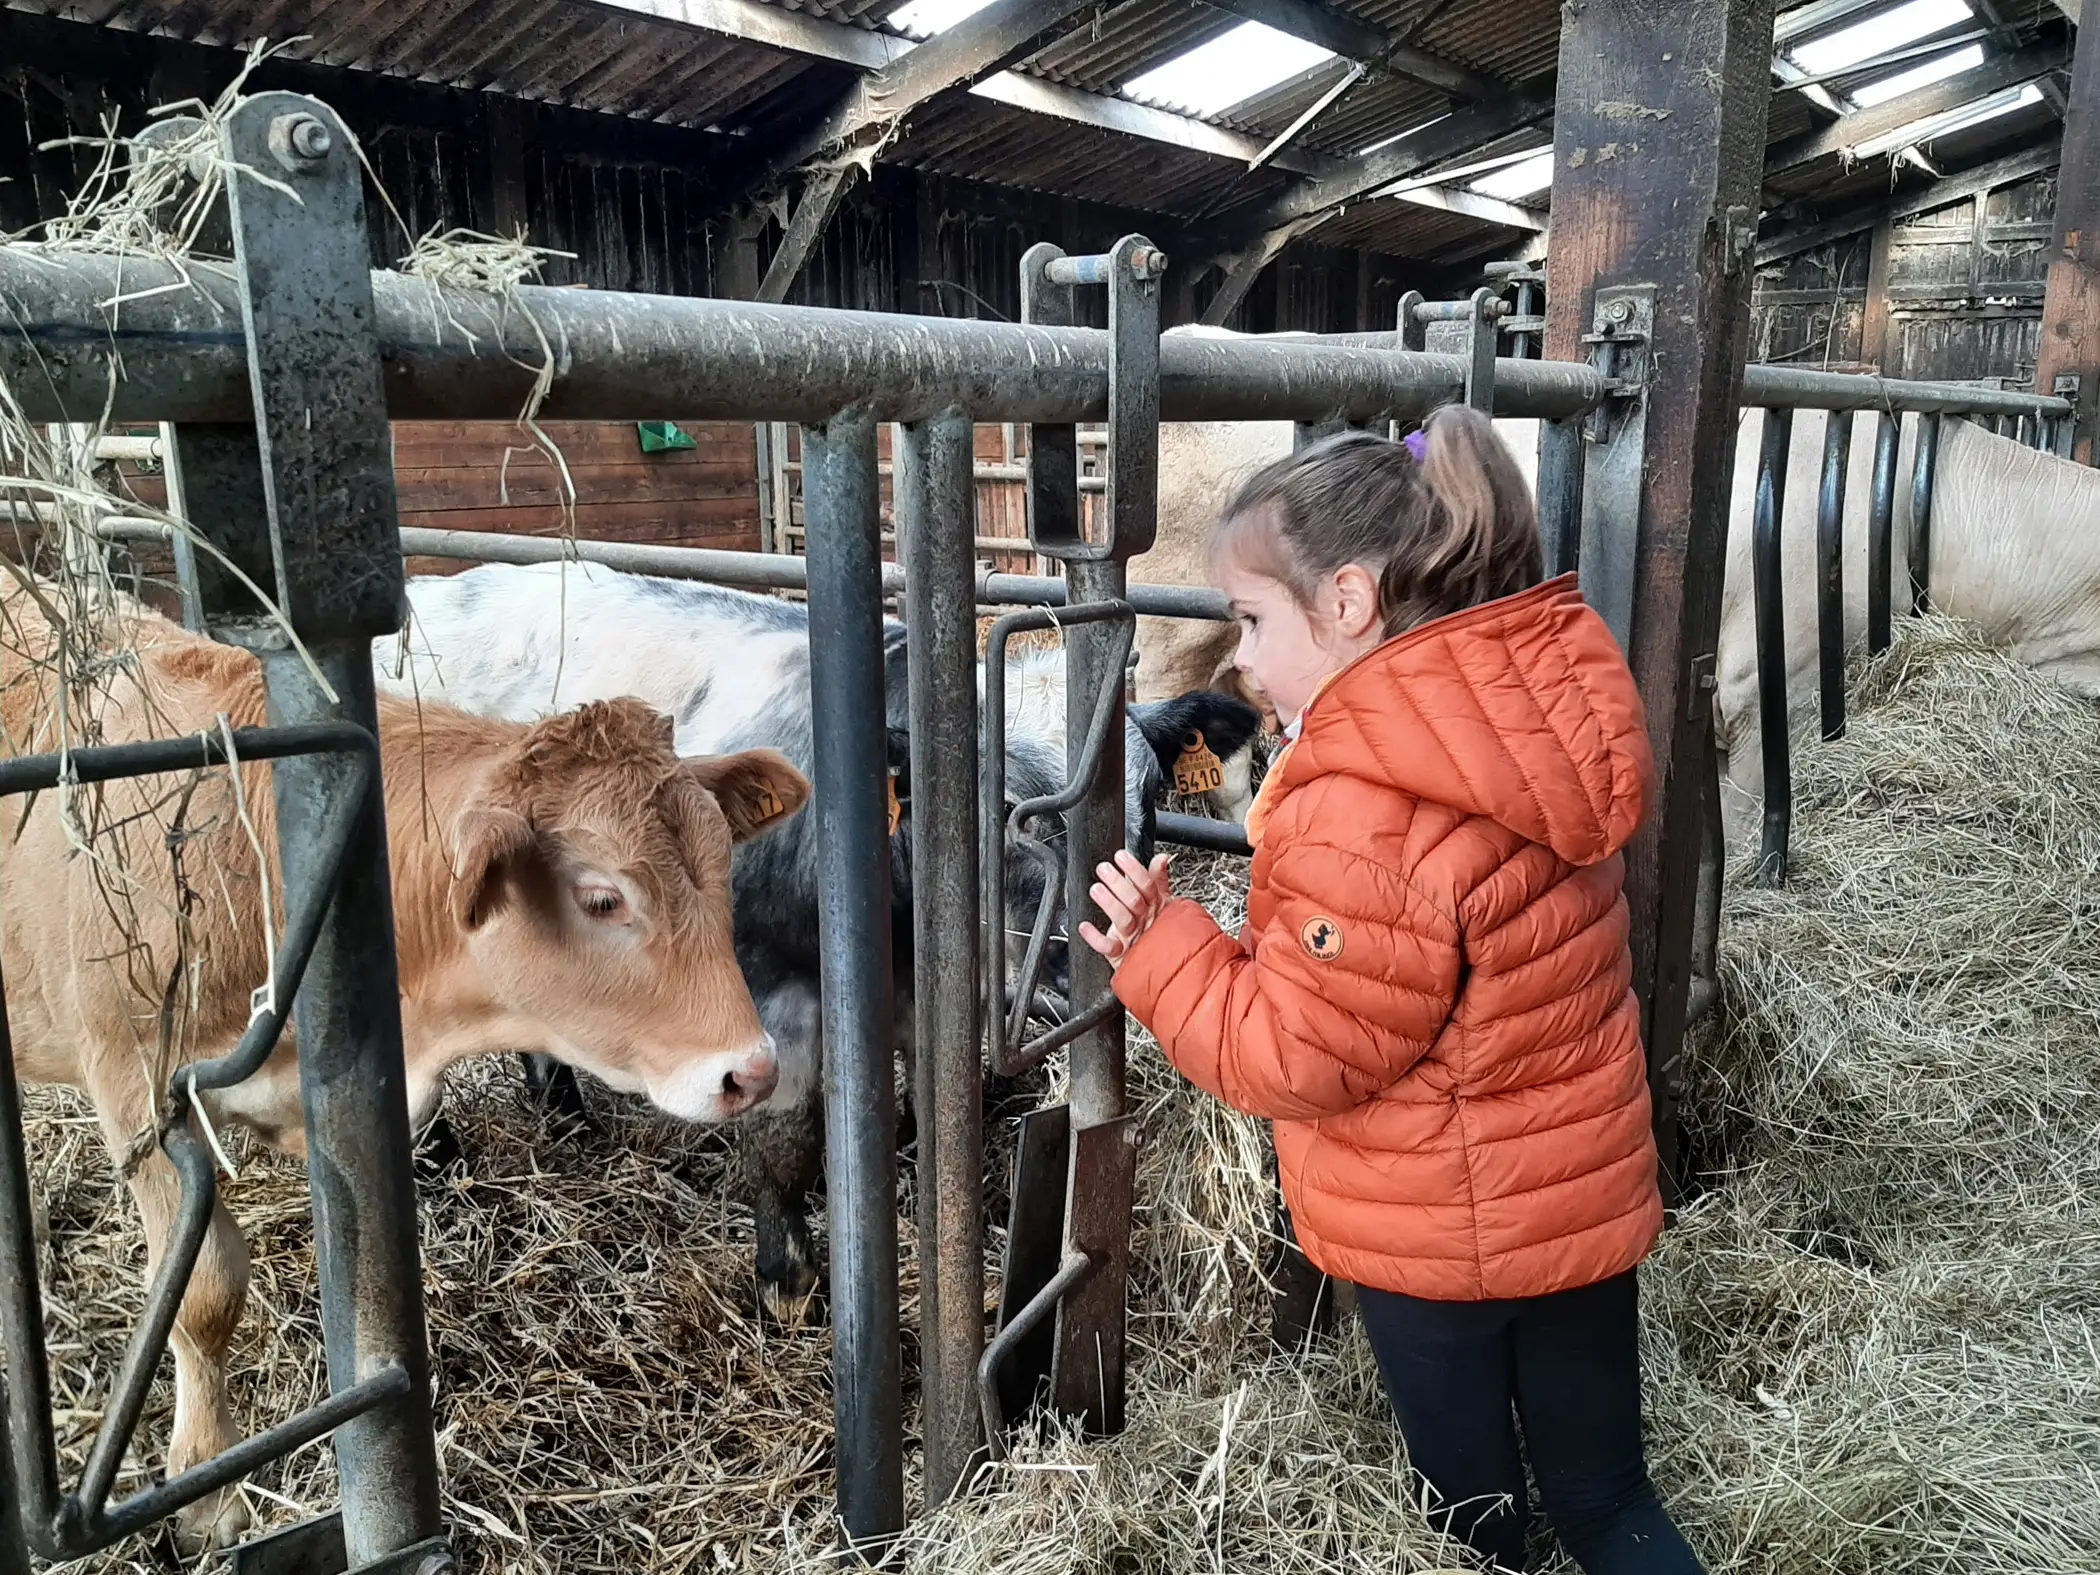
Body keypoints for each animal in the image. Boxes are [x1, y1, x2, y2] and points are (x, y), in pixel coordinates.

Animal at [1, 578, 809, 1553]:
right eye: (602, 896)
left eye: (722, 865)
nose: (752, 1070)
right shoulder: (136, 1090)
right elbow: (201, 1290)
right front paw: (204, 1486)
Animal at [371, 560, 1260, 1322]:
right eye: (1005, 808)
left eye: (1149, 793)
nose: (1079, 971)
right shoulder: (773, 995)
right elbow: (784, 1141)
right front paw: (788, 1279)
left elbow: (933, 1104)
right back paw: (439, 1155)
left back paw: (564, 1118)